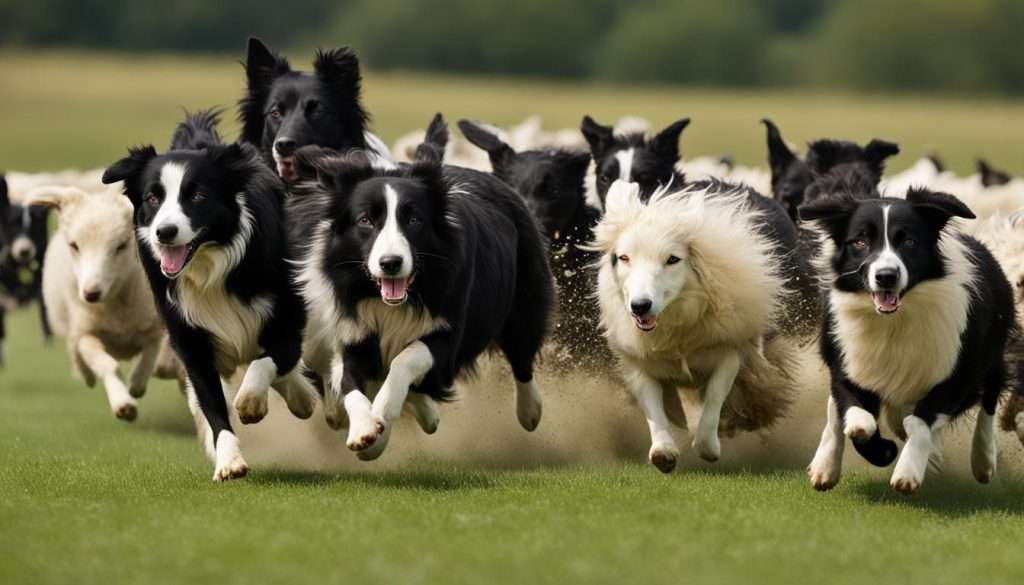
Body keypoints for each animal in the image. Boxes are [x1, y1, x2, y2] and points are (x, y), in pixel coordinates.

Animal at [593, 181, 798, 473]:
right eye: (623, 257)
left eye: (672, 259)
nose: (640, 306)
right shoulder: (641, 364)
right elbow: (653, 407)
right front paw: (663, 452)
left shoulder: (729, 355)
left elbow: (713, 398)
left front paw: (709, 445)